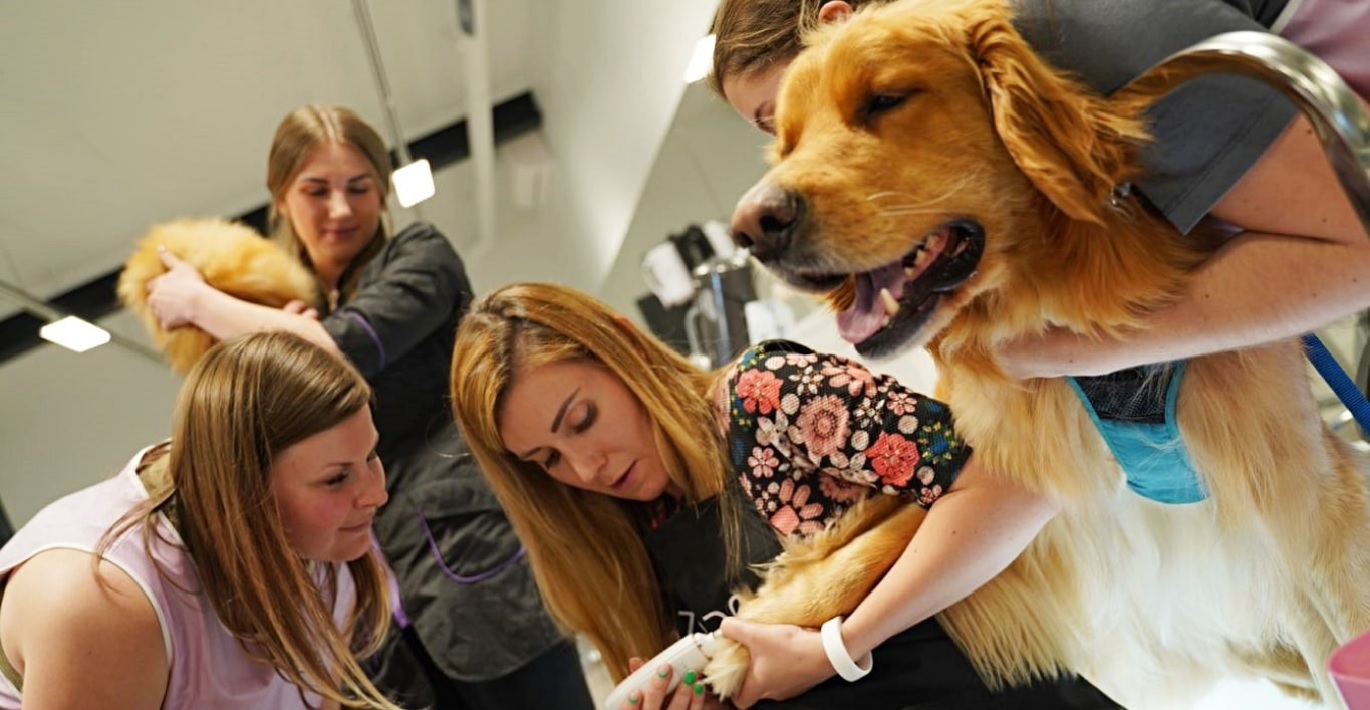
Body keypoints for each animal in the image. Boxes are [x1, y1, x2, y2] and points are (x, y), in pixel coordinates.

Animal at [712, 1, 1370, 707]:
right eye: (786, 144)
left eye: (885, 99)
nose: (749, 229)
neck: (1046, 293)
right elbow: (873, 556)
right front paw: (741, 647)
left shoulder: (1297, 491)